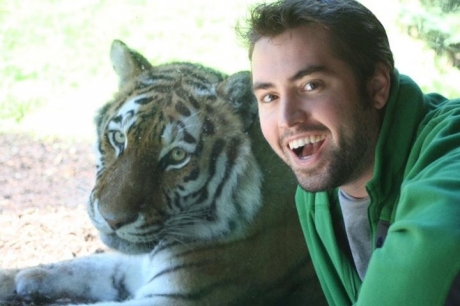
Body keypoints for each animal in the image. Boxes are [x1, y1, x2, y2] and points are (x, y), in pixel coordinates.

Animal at [0, 40, 326, 306]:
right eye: (118, 138)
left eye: (177, 156)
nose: (111, 219)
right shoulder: (139, 265)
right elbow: (85, 265)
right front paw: (18, 277)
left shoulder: (176, 296)